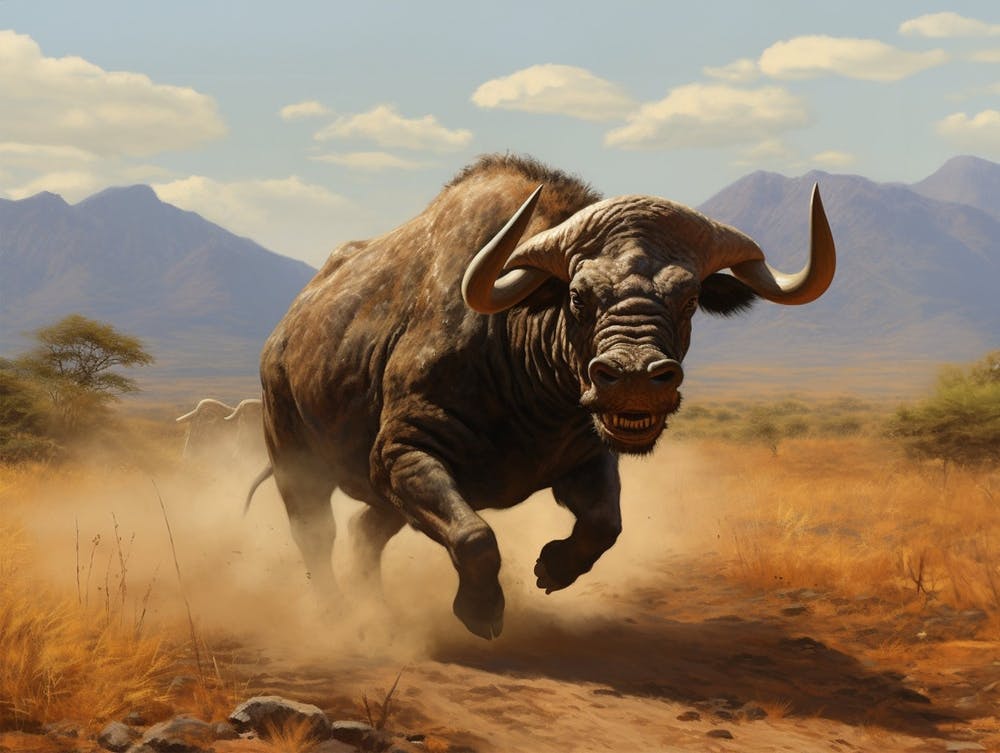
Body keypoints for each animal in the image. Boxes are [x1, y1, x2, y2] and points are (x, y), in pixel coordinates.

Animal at [252, 155, 835, 639]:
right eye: (578, 296)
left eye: (689, 297)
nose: (635, 379)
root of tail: (282, 334)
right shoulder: (402, 454)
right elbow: (476, 538)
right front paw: (482, 610)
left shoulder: (586, 457)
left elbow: (604, 524)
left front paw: (552, 568)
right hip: (293, 460)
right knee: (317, 535)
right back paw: (337, 614)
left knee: (364, 532)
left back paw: (376, 609)